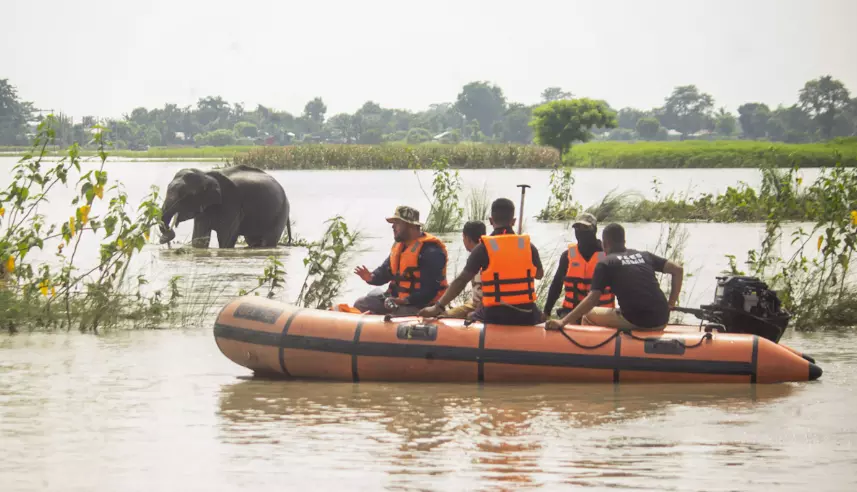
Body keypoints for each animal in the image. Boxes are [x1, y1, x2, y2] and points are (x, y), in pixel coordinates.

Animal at [159, 166, 292, 250]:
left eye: (185, 195)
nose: (163, 239)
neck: (205, 174)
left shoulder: (232, 202)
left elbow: (226, 237)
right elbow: (199, 238)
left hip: (281, 212)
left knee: (268, 241)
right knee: (253, 240)